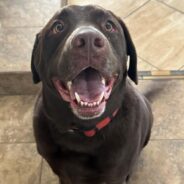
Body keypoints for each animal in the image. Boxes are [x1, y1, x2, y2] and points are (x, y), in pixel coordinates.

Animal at [31, 4, 152, 184]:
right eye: (58, 27)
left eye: (109, 25)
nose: (88, 40)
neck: (82, 132)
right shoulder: (63, 174)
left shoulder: (115, 176)